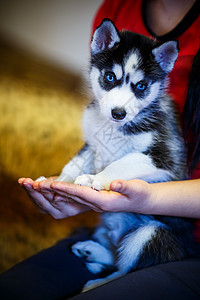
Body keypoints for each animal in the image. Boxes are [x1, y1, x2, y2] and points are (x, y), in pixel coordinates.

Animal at [44, 18, 195, 288]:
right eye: (110, 77)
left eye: (141, 86)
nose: (118, 113)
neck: (113, 127)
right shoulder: (92, 142)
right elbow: (75, 163)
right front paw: (59, 182)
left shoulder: (164, 158)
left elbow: (121, 163)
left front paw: (95, 178)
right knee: (115, 255)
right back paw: (90, 250)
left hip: (150, 232)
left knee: (125, 269)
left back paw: (95, 283)